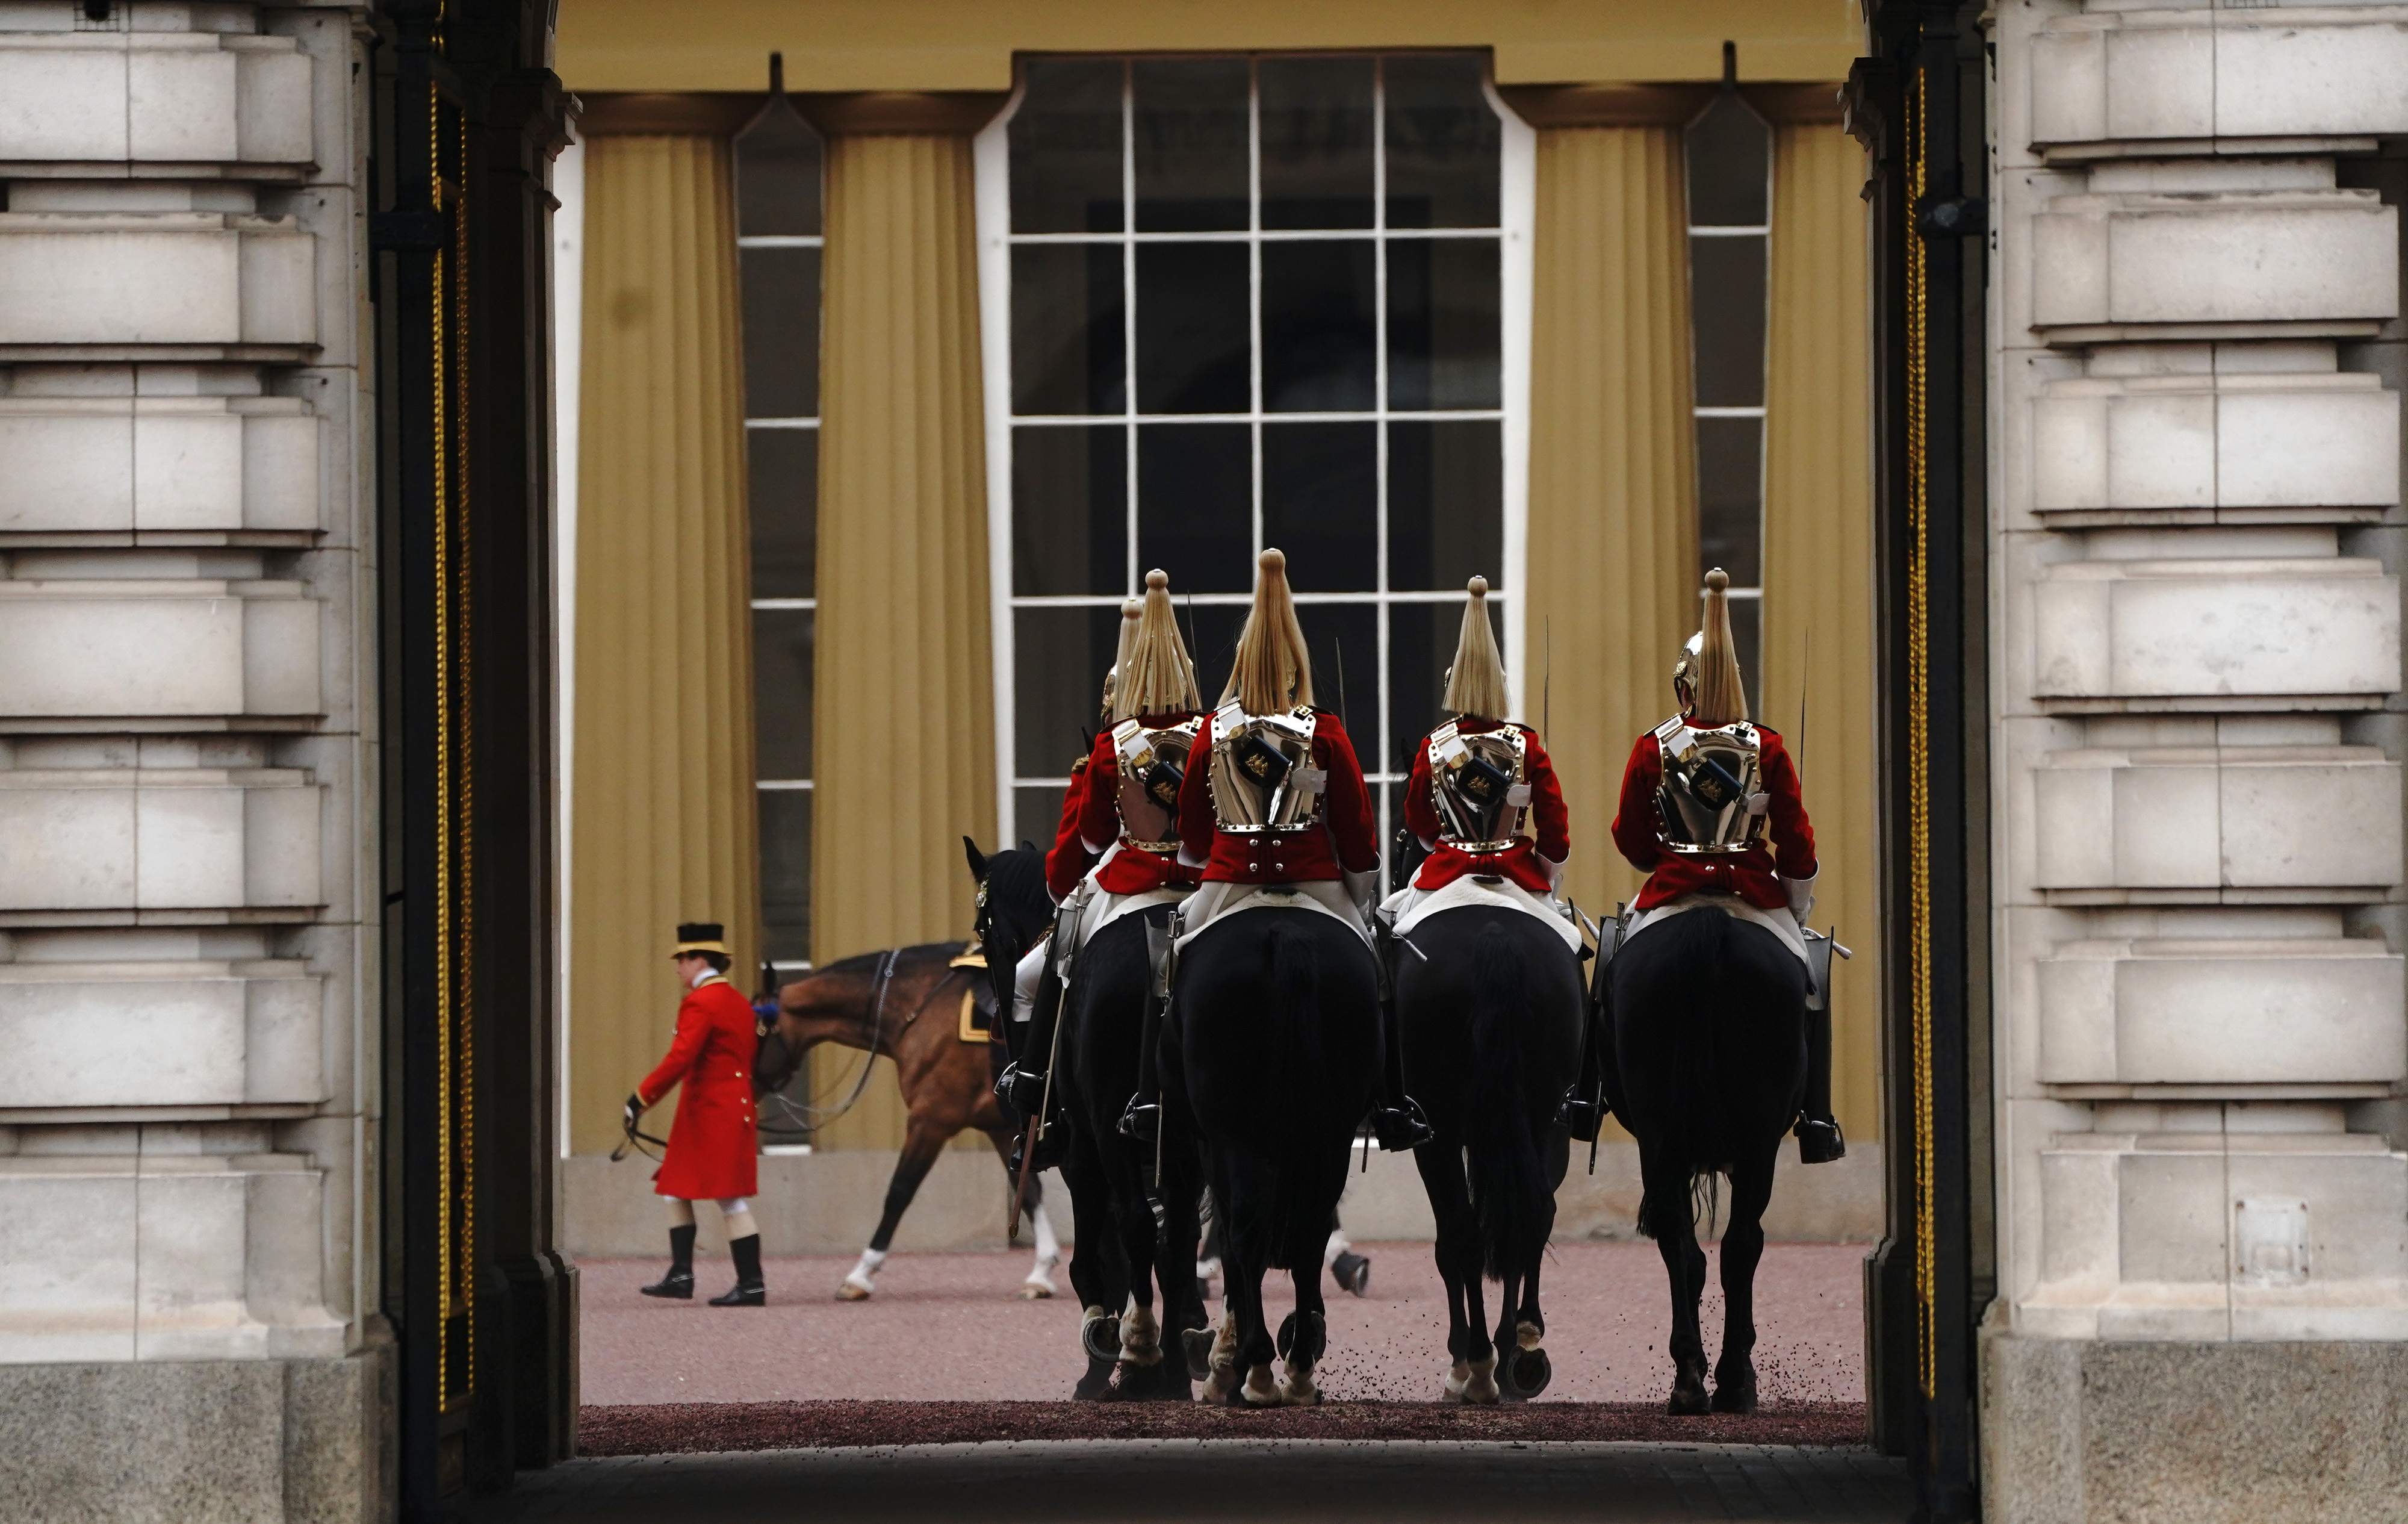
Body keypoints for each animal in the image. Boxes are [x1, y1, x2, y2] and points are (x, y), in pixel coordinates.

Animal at [746, 939, 1060, 1300]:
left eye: (753, 1032)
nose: (744, 1086)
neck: (925, 1005)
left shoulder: (931, 1120)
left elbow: (899, 1191)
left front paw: (861, 1273)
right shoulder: (999, 1126)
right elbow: (1029, 1190)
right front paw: (1042, 1270)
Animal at [1161, 905, 1377, 1406]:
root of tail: (1283, 933)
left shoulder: (1211, 1144)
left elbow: (1231, 1241)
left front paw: (1227, 1362)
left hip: (1236, 1138)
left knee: (1245, 1233)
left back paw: (1256, 1370)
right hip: (1327, 1137)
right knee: (1310, 1233)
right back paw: (1298, 1367)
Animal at [1406, 905, 1589, 1406]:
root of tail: (1494, 931)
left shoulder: (1434, 1136)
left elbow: (1450, 1244)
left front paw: (1463, 1359)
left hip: (1441, 1131)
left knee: (1465, 1233)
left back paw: (1478, 1363)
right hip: (1541, 1119)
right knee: (1532, 1216)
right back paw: (1519, 1349)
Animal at [1618, 905, 1811, 1416]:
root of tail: (1708, 921)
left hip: (1660, 1140)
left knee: (1679, 1243)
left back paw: (1689, 1380)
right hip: (1757, 1146)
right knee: (1740, 1244)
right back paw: (1732, 1380)